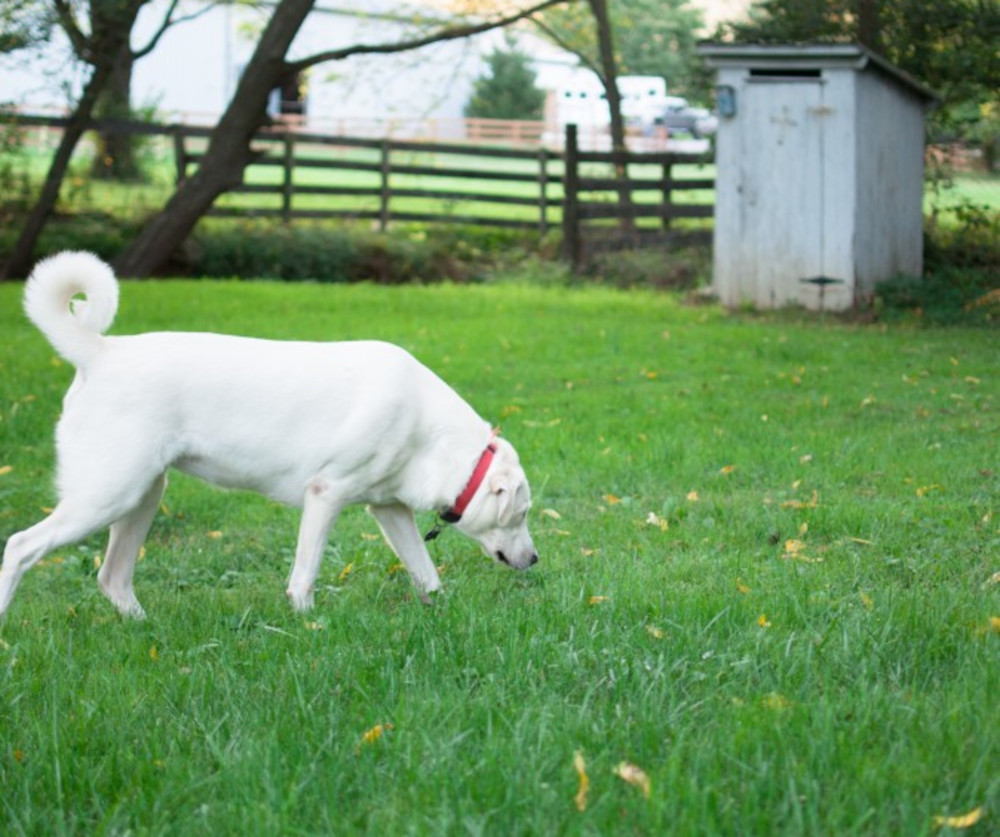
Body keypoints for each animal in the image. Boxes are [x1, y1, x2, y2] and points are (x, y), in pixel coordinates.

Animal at [0, 251, 540, 616]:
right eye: (522, 513)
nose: (534, 559)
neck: (432, 435)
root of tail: (100, 351)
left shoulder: (388, 509)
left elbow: (425, 573)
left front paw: (440, 611)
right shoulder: (325, 495)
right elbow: (305, 574)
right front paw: (308, 624)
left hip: (142, 496)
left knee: (112, 577)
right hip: (107, 495)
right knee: (21, 546)